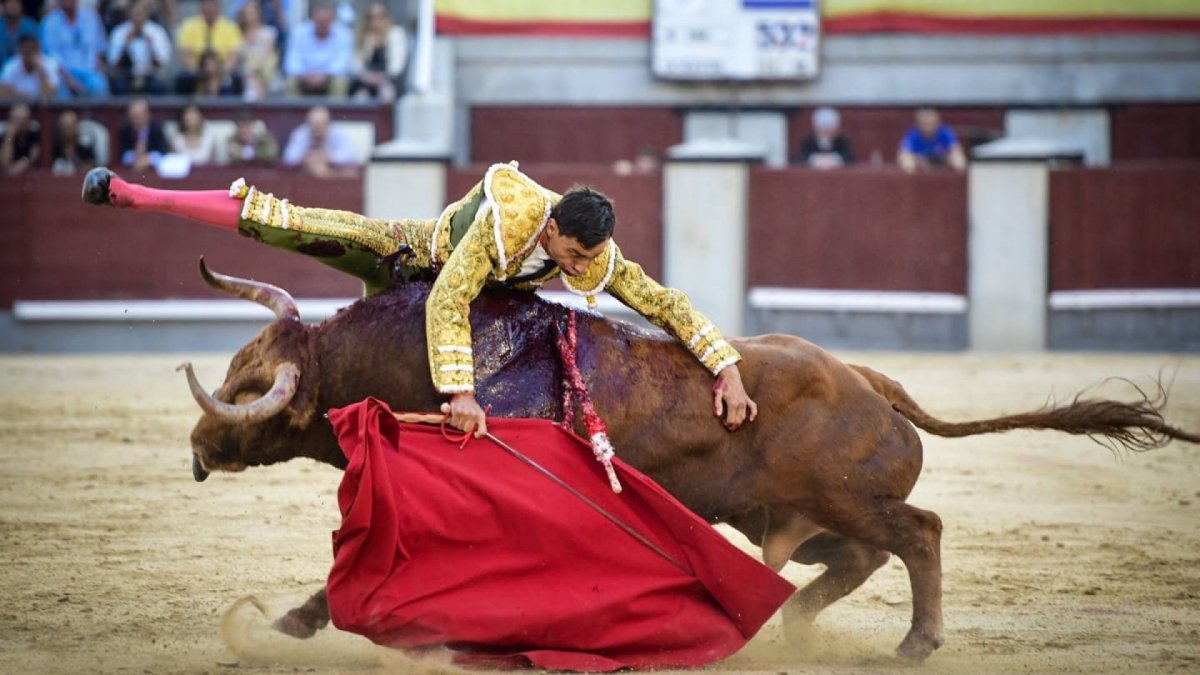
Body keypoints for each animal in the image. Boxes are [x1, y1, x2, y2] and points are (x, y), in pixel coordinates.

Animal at [180, 260, 1200, 658]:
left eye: (247, 392)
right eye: (234, 368)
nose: (195, 446)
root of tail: (872, 380)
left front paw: (284, 625)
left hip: (850, 497)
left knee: (920, 531)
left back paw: (915, 643)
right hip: (792, 519)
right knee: (859, 556)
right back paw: (788, 626)